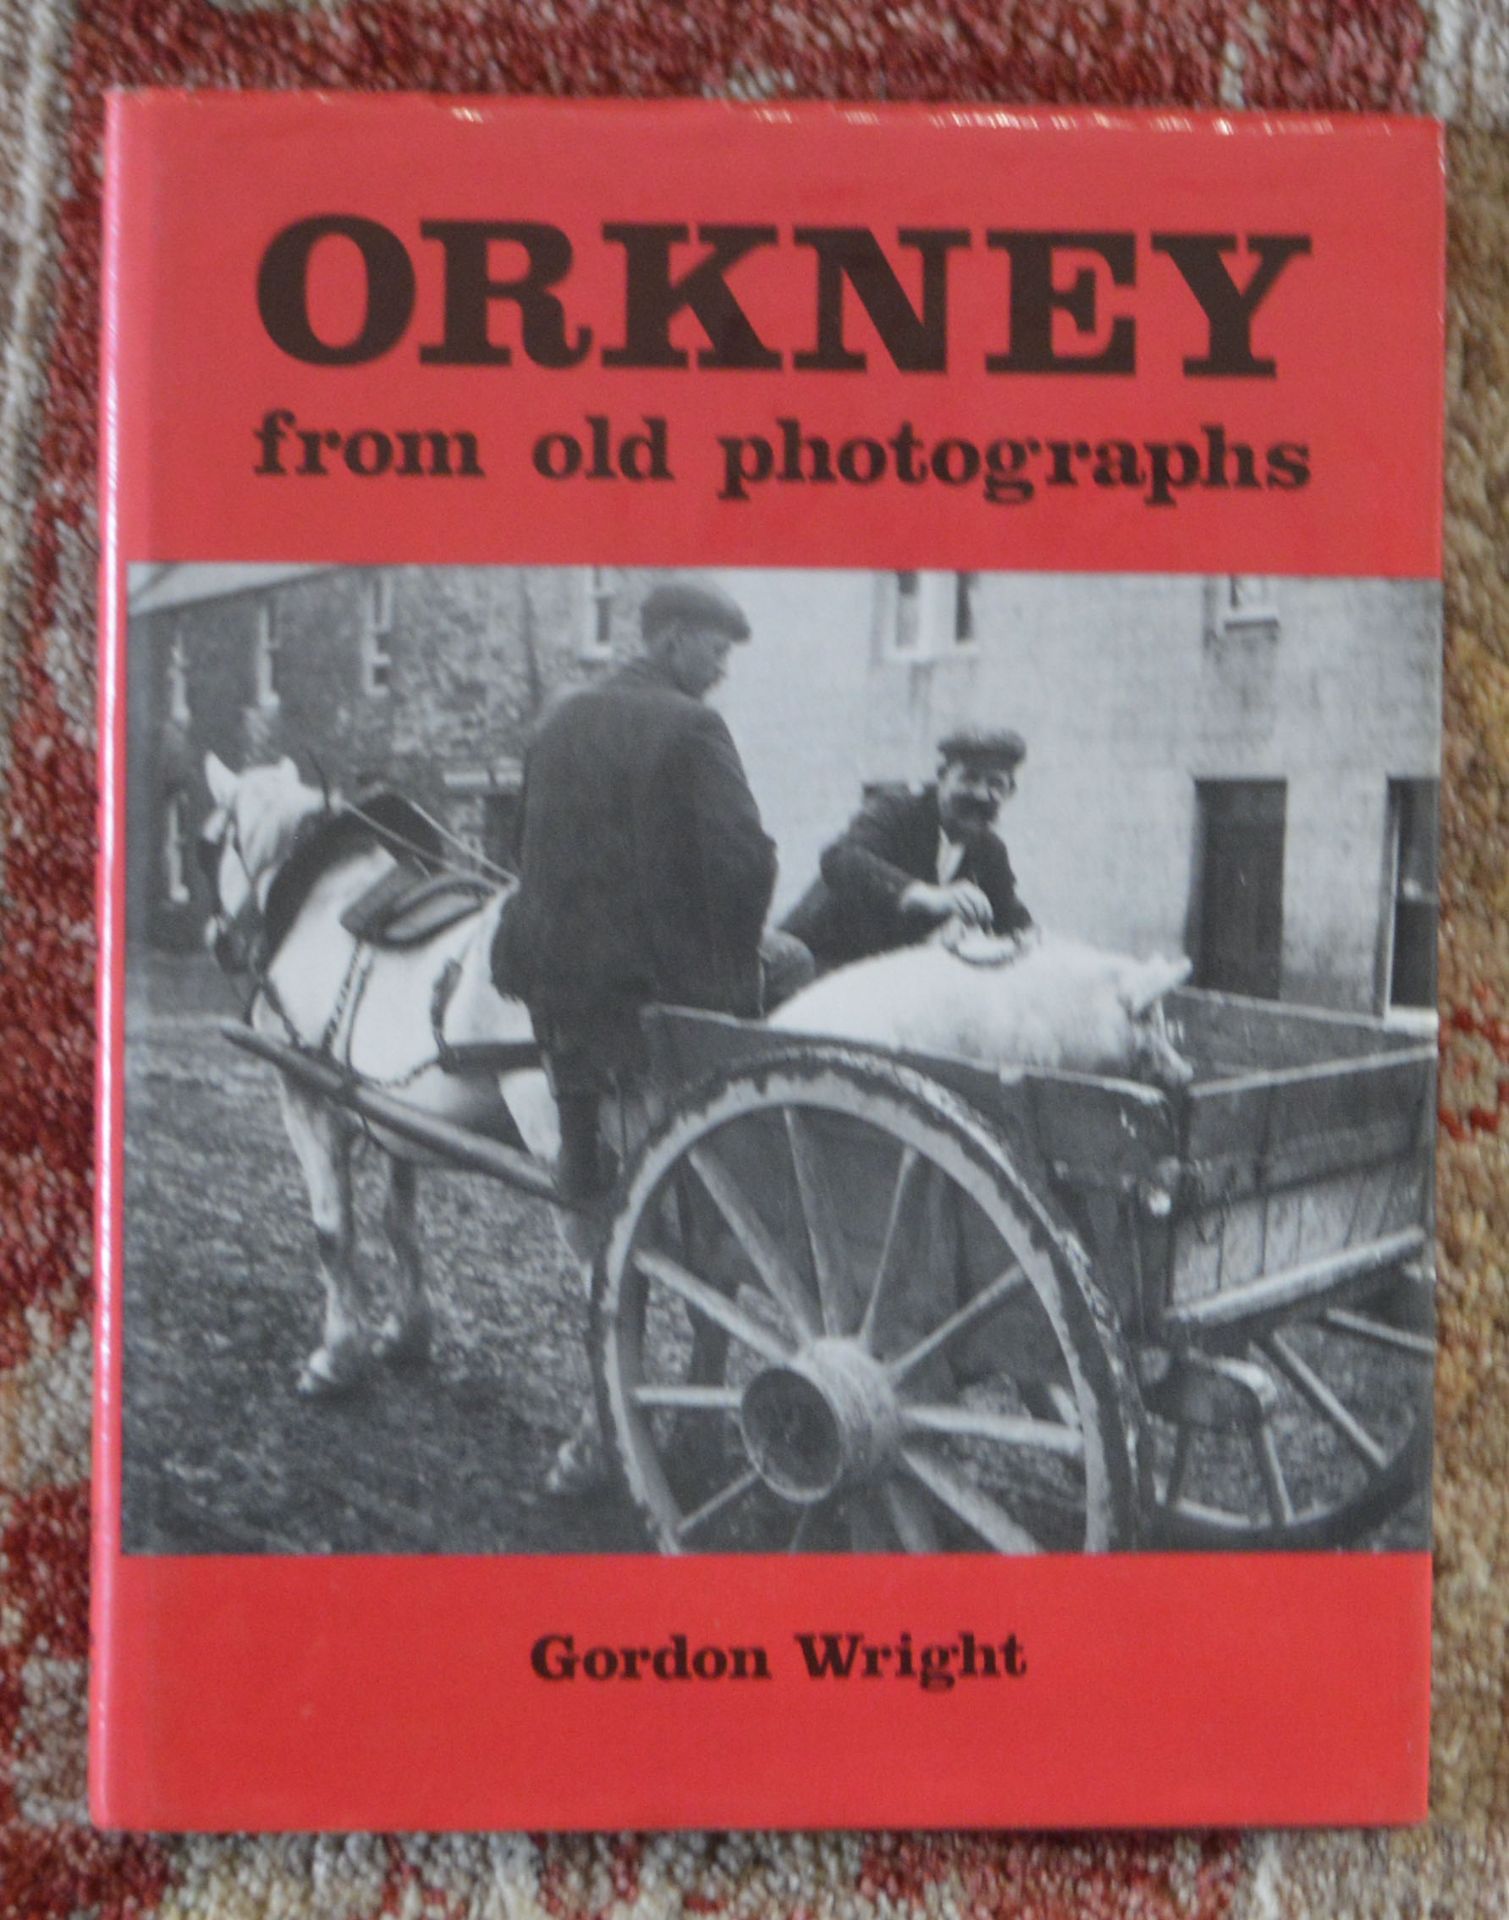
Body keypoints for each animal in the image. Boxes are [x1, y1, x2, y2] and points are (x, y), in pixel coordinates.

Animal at [193, 748, 556, 1397]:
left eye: (210, 845)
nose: (221, 940)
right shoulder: (392, 1113)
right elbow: (399, 1223)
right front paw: (407, 1335)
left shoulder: (305, 1093)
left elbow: (333, 1231)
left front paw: (338, 1358)